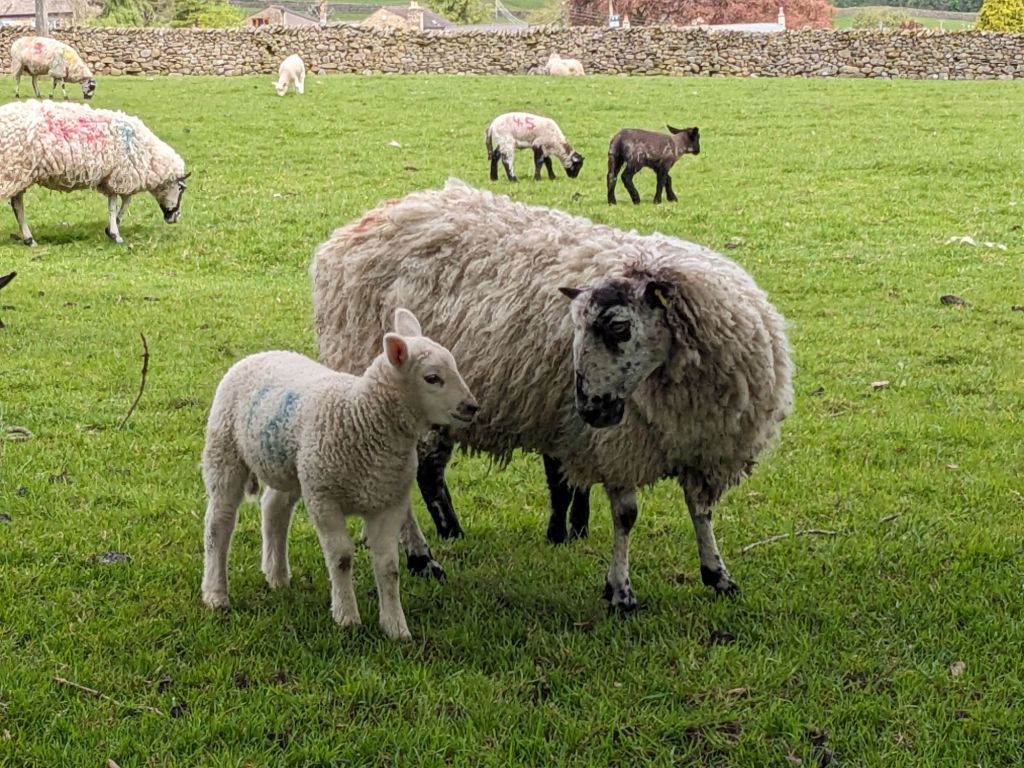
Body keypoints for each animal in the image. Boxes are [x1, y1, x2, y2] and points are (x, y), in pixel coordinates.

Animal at [0, 99, 189, 246]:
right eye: (181, 188)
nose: (176, 217)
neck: (148, 154)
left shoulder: (113, 176)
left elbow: (121, 202)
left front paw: (112, 228)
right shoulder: (120, 175)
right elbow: (118, 204)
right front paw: (115, 234)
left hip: (18, 173)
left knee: (17, 205)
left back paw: (29, 239)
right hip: (11, 170)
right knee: (16, 205)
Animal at [200, 308, 479, 640]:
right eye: (432, 378)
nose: (472, 406)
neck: (362, 415)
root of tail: (260, 354)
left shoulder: (388, 502)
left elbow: (389, 566)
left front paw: (395, 627)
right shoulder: (324, 498)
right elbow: (342, 558)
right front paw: (347, 617)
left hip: (293, 466)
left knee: (274, 510)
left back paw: (277, 575)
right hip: (225, 451)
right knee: (219, 524)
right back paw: (216, 594)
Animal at [312, 180, 793, 612]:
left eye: (619, 328)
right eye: (575, 328)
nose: (590, 408)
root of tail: (352, 231)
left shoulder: (705, 446)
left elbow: (700, 510)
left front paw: (717, 574)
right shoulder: (618, 446)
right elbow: (626, 516)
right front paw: (620, 591)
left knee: (426, 472)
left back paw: (441, 537)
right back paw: (421, 556)